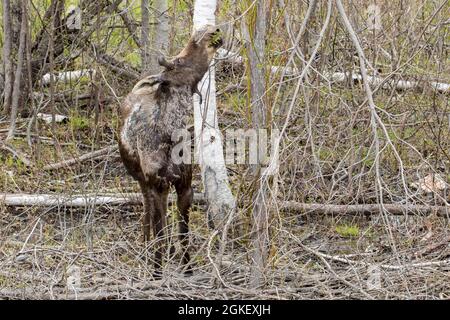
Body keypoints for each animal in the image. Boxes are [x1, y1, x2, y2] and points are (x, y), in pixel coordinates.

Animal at [118, 25, 223, 276]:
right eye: (178, 61)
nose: (209, 29)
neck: (168, 135)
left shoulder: (184, 186)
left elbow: (183, 233)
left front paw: (188, 268)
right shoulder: (157, 186)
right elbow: (160, 232)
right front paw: (157, 272)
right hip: (143, 182)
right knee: (149, 219)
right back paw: (147, 250)